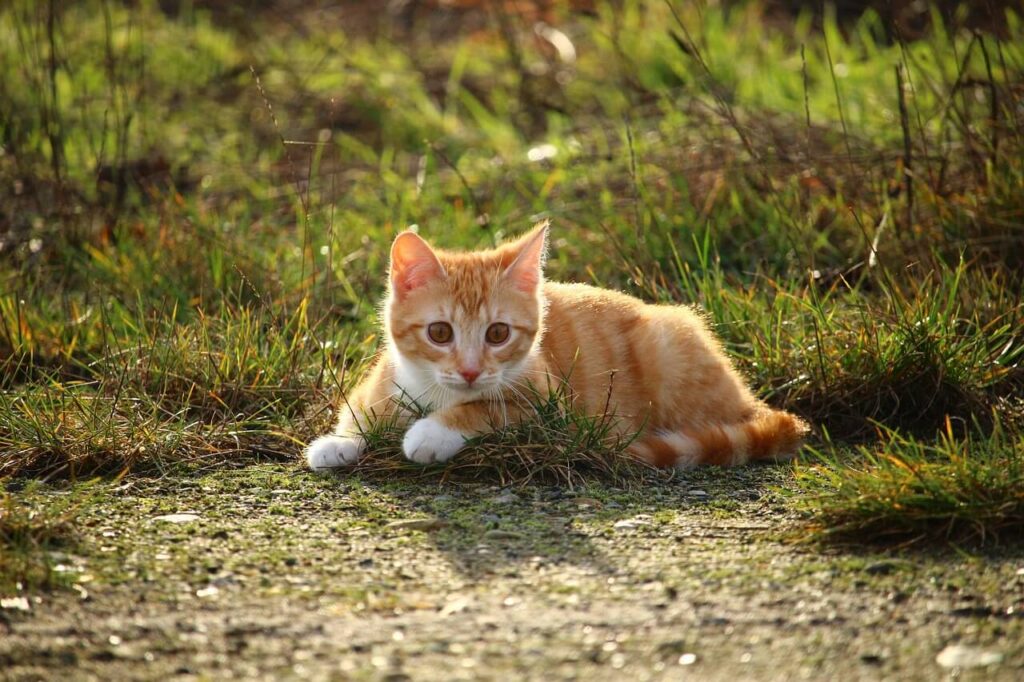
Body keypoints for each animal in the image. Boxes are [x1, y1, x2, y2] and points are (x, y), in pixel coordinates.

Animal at [303, 222, 806, 466]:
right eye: (439, 333)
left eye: (498, 333)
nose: (470, 370)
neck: (435, 392)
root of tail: (750, 398)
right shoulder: (384, 380)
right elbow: (362, 410)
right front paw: (340, 442)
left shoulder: (552, 411)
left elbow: (487, 409)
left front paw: (432, 432)